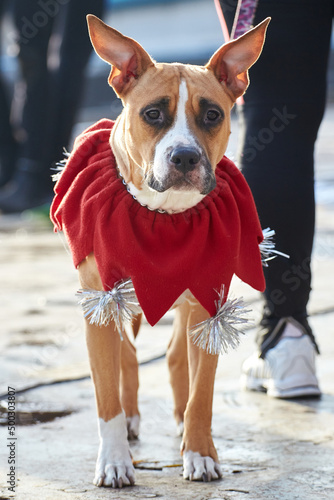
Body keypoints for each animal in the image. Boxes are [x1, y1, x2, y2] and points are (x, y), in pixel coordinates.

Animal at [50, 14, 268, 488]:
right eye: (152, 114)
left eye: (212, 115)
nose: (185, 157)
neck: (165, 214)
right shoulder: (101, 306)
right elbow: (106, 397)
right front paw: (114, 460)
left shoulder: (208, 305)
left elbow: (202, 392)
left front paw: (200, 453)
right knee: (129, 358)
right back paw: (131, 419)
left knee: (171, 357)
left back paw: (182, 424)